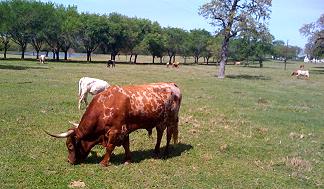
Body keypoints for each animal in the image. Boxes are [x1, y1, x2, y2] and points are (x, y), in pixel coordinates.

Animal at [45, 82, 182, 167]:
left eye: (70, 146)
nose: (69, 161)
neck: (104, 105)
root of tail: (172, 84)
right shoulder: (124, 130)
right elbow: (126, 145)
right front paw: (128, 159)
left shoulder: (115, 131)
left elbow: (110, 147)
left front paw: (104, 162)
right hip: (160, 121)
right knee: (160, 134)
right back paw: (156, 151)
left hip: (171, 120)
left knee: (168, 135)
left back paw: (165, 153)